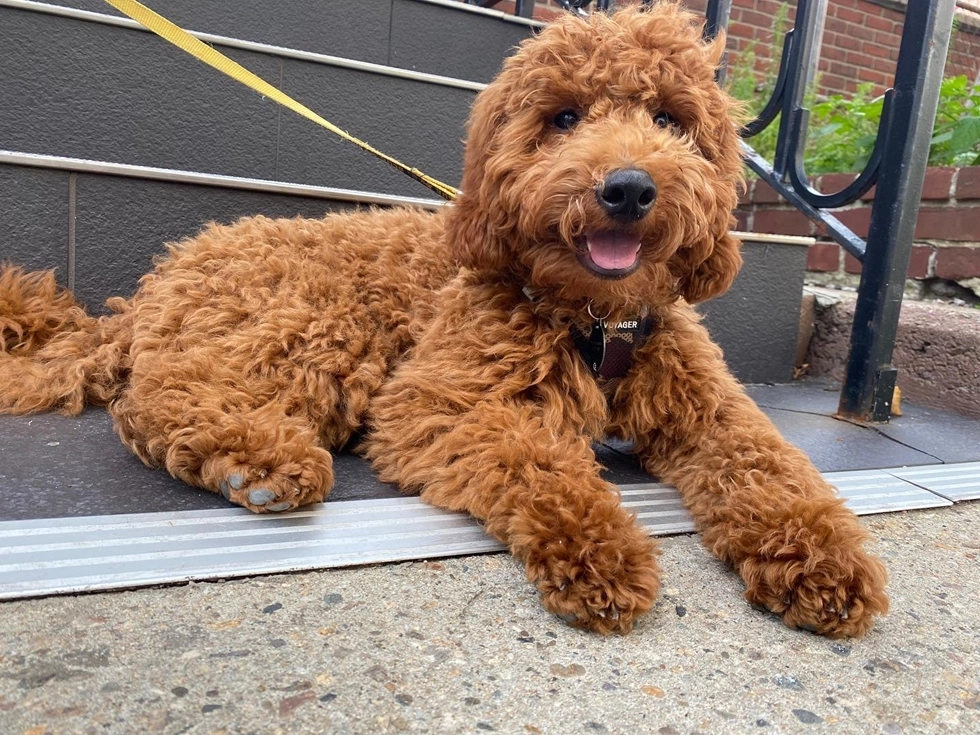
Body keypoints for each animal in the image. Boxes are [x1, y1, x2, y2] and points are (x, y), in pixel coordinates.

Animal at [0, 2, 888, 640]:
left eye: (669, 118)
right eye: (565, 117)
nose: (628, 188)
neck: (593, 318)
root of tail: (158, 281)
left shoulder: (709, 408)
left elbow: (771, 468)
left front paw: (825, 559)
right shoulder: (439, 399)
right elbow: (538, 458)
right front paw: (601, 548)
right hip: (315, 321)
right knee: (160, 395)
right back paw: (257, 459)